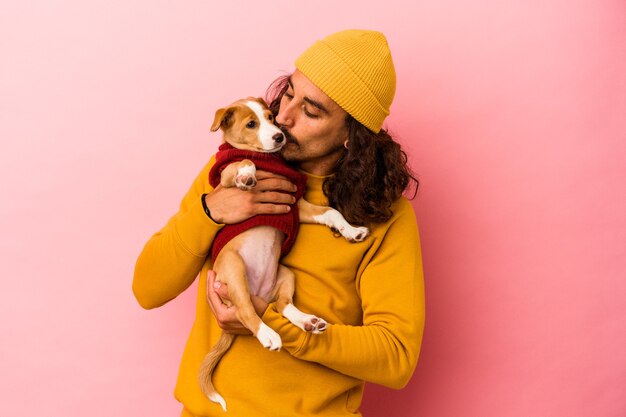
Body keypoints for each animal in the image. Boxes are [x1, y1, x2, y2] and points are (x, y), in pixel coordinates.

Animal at [199, 96, 366, 410]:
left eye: (271, 117)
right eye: (251, 124)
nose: (279, 136)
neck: (270, 160)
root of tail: (260, 291)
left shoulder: (295, 204)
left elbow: (331, 212)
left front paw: (351, 230)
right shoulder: (224, 176)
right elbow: (243, 161)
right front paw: (248, 175)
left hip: (285, 274)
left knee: (281, 305)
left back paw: (308, 321)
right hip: (234, 267)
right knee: (247, 310)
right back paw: (268, 335)